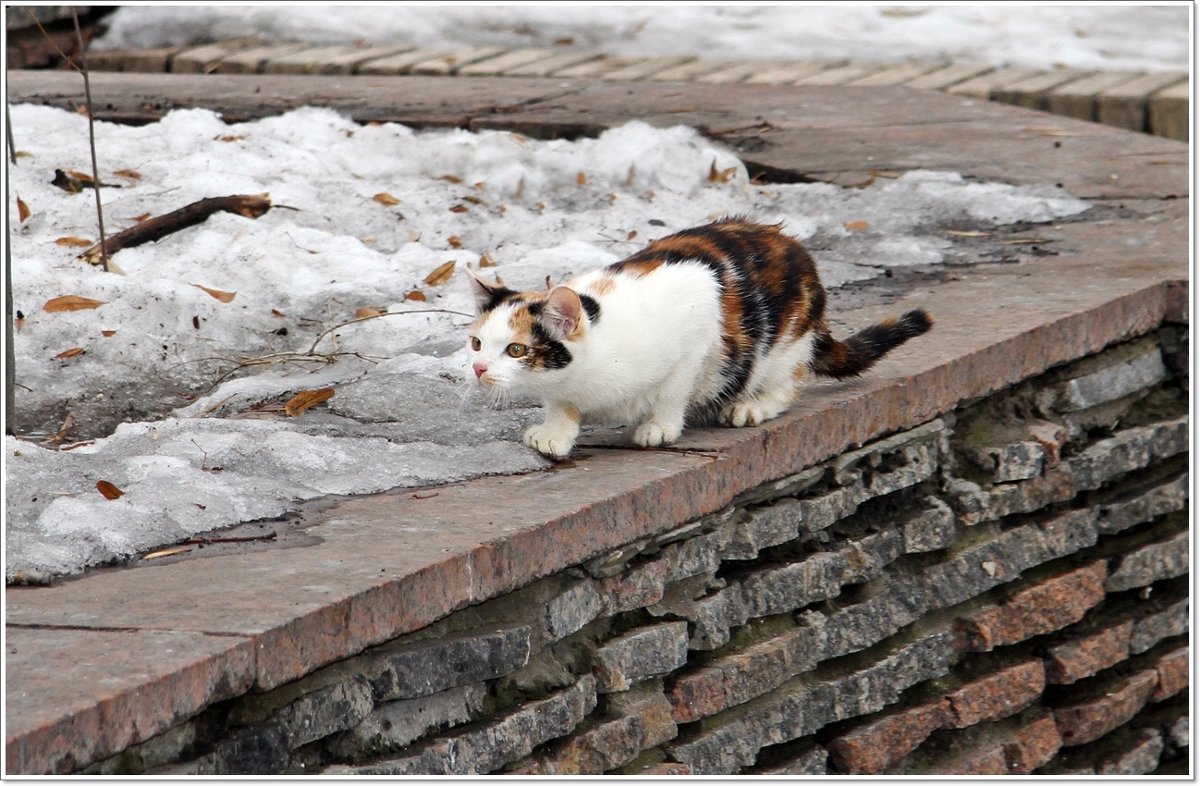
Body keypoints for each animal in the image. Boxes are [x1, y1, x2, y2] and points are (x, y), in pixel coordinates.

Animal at [463, 217, 931, 460]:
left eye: (517, 349)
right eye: (476, 343)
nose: (479, 368)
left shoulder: (694, 327)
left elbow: (674, 388)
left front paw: (660, 426)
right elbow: (561, 405)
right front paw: (555, 432)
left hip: (784, 343)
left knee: (789, 380)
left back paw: (752, 405)